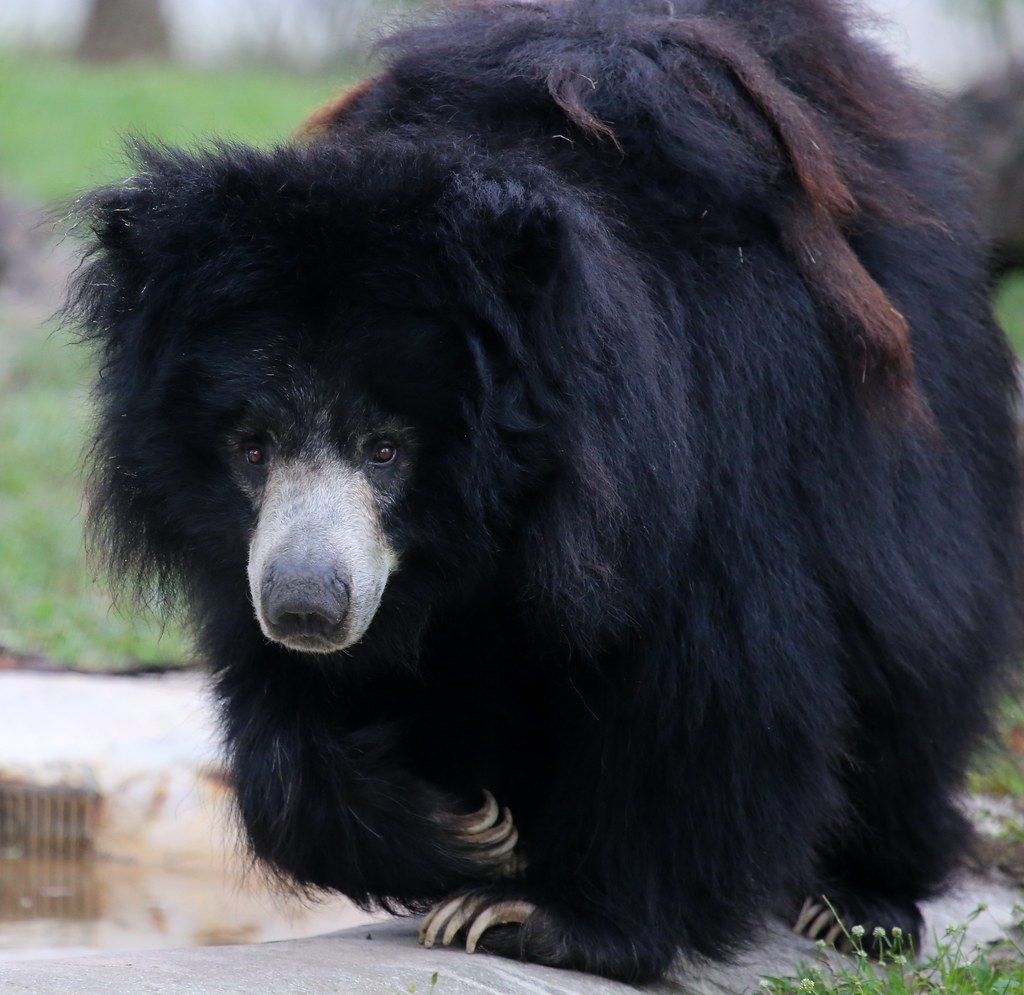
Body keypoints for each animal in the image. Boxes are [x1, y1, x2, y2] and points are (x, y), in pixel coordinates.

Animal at [66, 0, 1022, 983]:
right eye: (252, 447)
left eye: (385, 448)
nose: (306, 607)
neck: (490, 527)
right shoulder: (260, 555)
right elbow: (286, 721)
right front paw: (462, 829)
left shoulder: (698, 469)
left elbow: (719, 686)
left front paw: (535, 914)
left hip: (913, 467)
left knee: (915, 664)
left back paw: (856, 901)